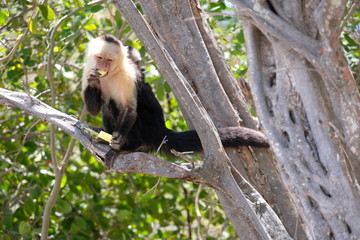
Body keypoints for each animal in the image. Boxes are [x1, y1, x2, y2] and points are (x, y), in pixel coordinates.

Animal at [81, 35, 268, 167]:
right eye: (100, 58)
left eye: (109, 60)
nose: (102, 67)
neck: (112, 73)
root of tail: (160, 130)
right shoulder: (88, 68)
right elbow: (94, 109)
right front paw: (93, 81)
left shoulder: (128, 75)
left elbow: (130, 109)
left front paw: (118, 142)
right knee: (107, 104)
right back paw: (104, 136)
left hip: (148, 129)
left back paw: (129, 146)